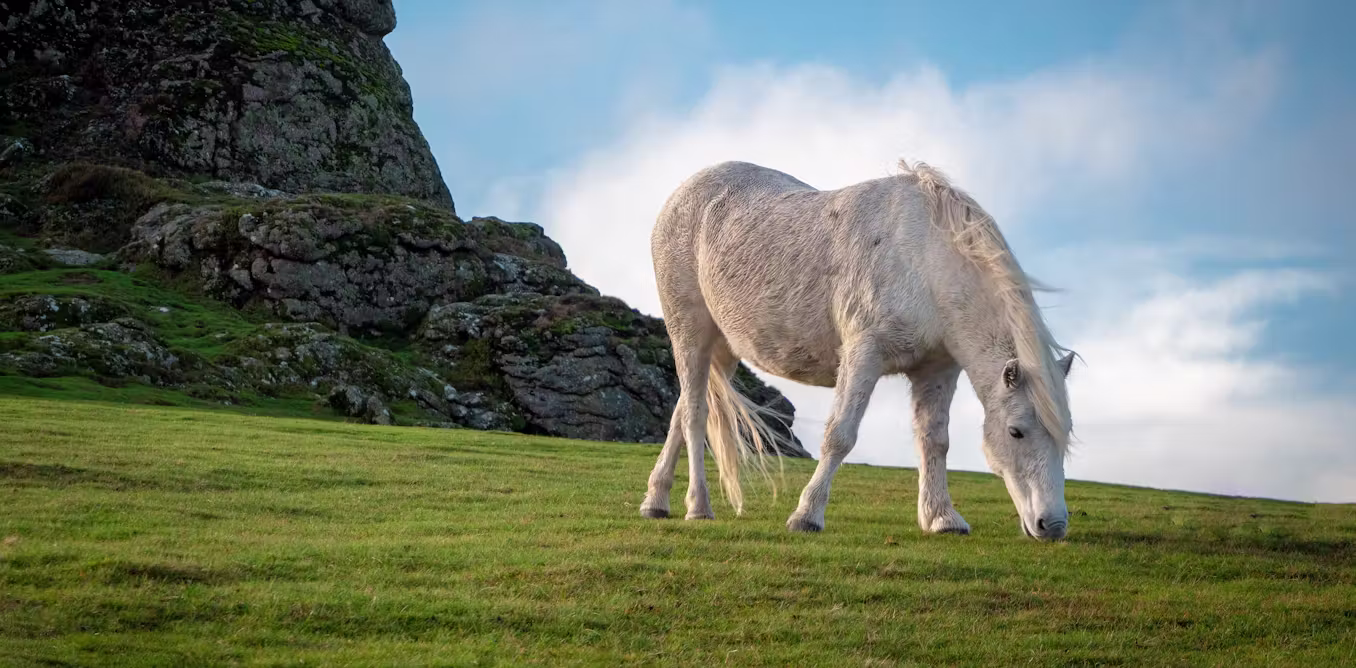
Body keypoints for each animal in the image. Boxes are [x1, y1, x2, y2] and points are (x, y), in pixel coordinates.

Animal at [638, 159, 1077, 540]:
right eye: (1016, 431)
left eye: (1064, 437)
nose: (1052, 525)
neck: (923, 260)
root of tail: (685, 191)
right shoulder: (864, 355)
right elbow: (840, 435)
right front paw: (806, 515)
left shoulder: (937, 370)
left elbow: (935, 441)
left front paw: (941, 518)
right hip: (690, 332)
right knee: (695, 416)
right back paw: (698, 506)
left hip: (724, 347)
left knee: (682, 411)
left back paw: (656, 501)